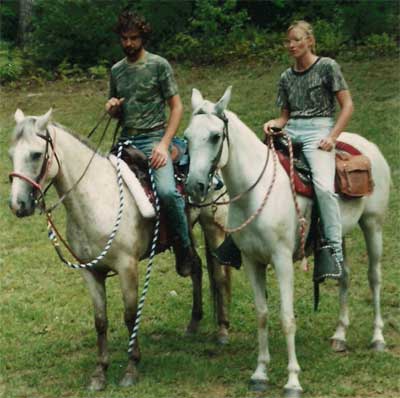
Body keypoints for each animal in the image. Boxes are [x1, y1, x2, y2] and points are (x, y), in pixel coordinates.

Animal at [7, 109, 231, 392]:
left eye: (36, 154)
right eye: (11, 154)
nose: (18, 205)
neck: (98, 198)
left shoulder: (127, 267)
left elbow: (129, 316)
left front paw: (131, 367)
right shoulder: (90, 272)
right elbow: (100, 321)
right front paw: (99, 372)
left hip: (214, 227)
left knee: (220, 276)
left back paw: (223, 331)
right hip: (187, 231)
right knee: (196, 268)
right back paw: (193, 323)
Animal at [184, 88, 390, 398]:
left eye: (215, 136)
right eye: (186, 137)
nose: (194, 186)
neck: (255, 192)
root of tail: (370, 146)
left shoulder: (281, 261)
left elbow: (286, 317)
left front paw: (292, 381)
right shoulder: (251, 261)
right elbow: (262, 315)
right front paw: (260, 374)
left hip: (373, 224)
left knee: (374, 277)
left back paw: (377, 338)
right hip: (338, 234)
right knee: (343, 275)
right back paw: (339, 336)